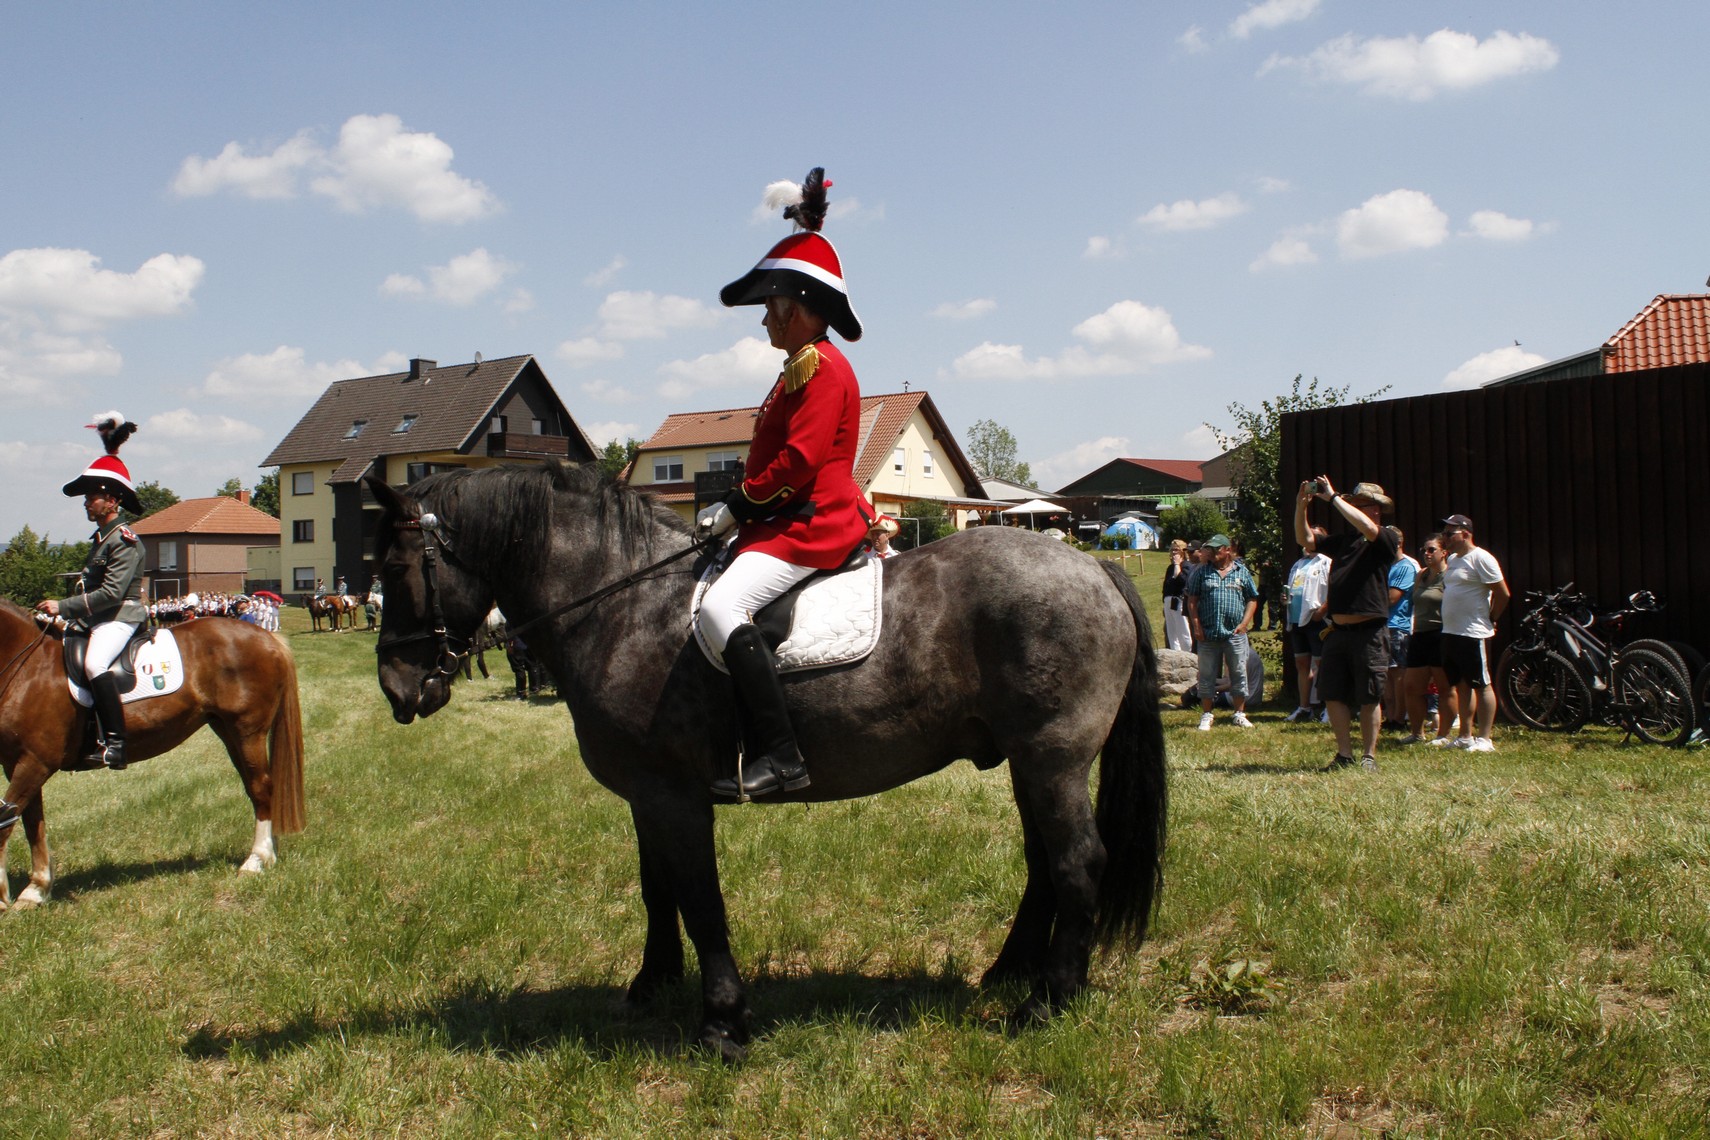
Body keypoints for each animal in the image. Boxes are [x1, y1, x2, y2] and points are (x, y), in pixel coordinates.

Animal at [0, 599, 306, 909]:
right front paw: (36, 889)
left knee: (261, 787)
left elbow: (5, 821)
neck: (29, 670)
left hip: (247, 731)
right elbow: (31, 823)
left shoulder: (36, 763)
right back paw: (269, 854)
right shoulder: (19, 763)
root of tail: (268, 638)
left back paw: (256, 860)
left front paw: (6, 897)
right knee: (255, 788)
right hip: (228, 731)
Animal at [367, 462, 1166, 1058]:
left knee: (1076, 862)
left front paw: (723, 1021)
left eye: (399, 567)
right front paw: (650, 986)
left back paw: (1048, 1001)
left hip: (1052, 760)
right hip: (1028, 764)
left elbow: (701, 900)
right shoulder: (647, 795)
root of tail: (1093, 566)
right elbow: (658, 891)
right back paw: (1007, 975)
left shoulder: (676, 797)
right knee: (1044, 864)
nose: (398, 689)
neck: (623, 605)